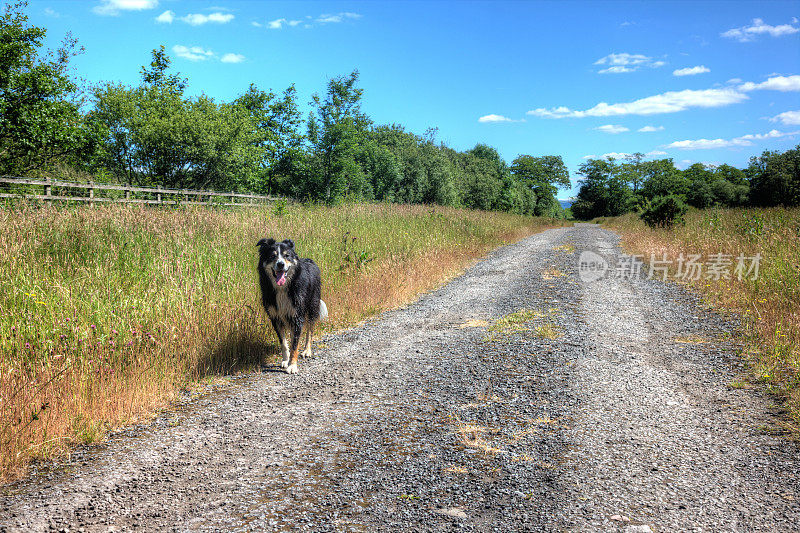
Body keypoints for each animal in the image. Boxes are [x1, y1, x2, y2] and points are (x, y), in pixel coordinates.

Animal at [260, 239, 328, 372]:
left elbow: (295, 344)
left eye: (287, 255)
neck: (282, 288)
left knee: (310, 329)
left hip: (312, 304)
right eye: (272, 256)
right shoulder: (275, 317)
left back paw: (307, 351)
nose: (280, 264)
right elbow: (284, 342)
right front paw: (286, 360)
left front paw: (292, 365)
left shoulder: (297, 315)